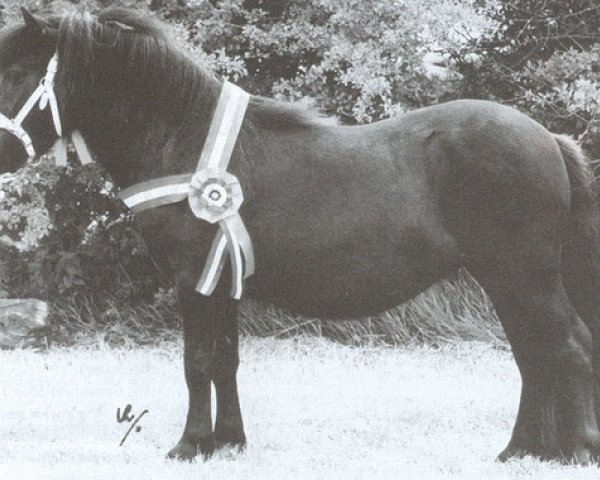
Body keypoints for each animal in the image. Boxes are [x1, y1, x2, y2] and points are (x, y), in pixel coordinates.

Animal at [1, 7, 600, 464]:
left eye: (12, 73)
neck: (183, 140)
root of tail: (547, 137)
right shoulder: (222, 281)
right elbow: (225, 360)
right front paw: (229, 443)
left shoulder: (194, 281)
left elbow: (197, 363)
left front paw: (189, 446)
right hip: (505, 279)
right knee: (533, 354)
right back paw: (521, 451)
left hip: (521, 276)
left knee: (565, 347)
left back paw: (572, 452)